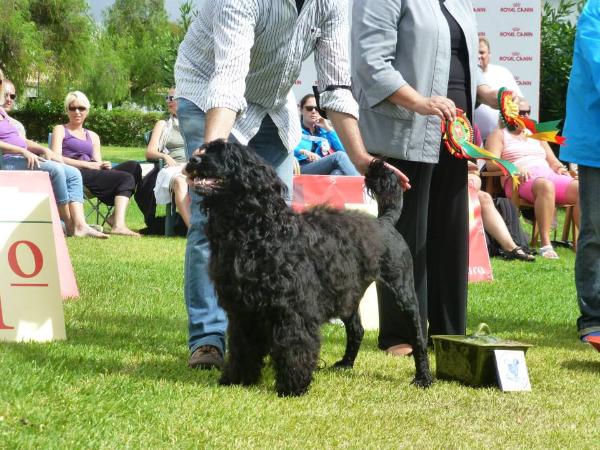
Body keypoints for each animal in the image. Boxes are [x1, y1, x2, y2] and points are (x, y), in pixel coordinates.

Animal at [184, 141, 432, 398]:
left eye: (228, 156)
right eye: (205, 150)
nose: (193, 161)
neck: (257, 232)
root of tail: (384, 221)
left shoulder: (293, 309)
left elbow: (295, 345)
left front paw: (293, 386)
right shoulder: (242, 311)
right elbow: (242, 346)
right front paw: (238, 378)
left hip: (403, 291)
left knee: (418, 338)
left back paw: (423, 378)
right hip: (347, 294)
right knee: (357, 330)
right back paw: (345, 364)